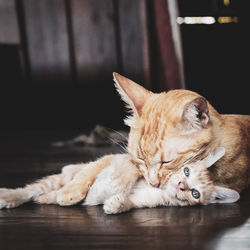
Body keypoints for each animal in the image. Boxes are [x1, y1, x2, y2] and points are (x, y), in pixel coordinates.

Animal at [0, 148, 239, 215]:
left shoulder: (149, 201)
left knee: (40, 192)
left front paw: (116, 203)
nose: (181, 186)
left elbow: (130, 202)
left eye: (195, 193)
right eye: (186, 171)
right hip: (61, 178)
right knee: (33, 188)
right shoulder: (115, 158)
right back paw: (9, 196)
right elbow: (127, 168)